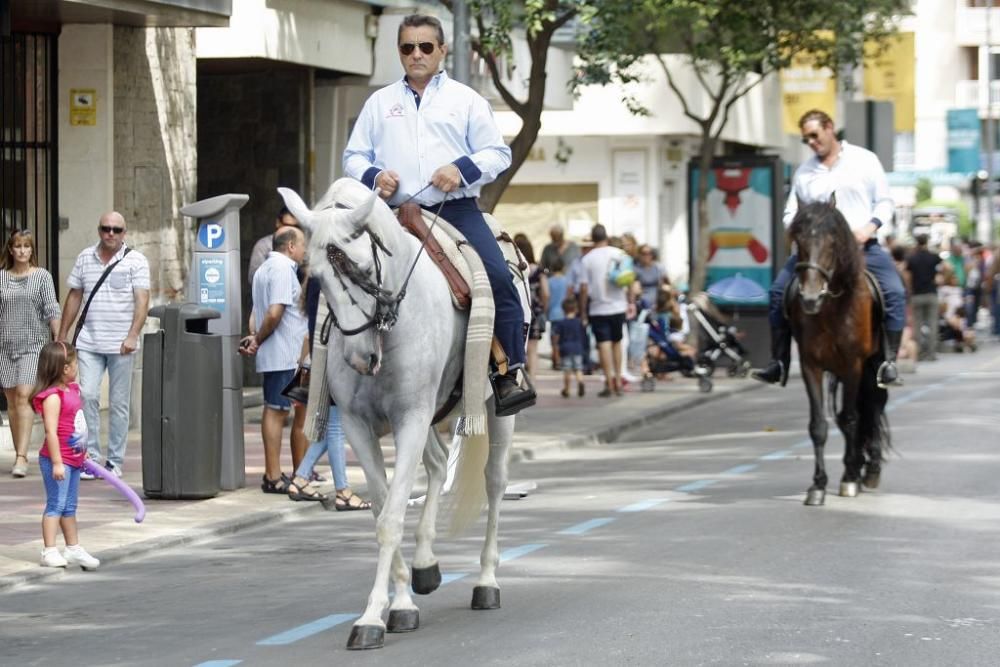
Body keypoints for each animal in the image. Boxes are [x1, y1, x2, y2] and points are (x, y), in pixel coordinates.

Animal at [280, 179, 516, 652]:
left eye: (363, 271)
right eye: (316, 278)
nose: (359, 358)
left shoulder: (410, 416)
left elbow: (390, 518)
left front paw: (374, 616)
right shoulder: (359, 424)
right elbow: (381, 509)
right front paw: (401, 602)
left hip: (492, 412)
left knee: (495, 483)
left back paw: (486, 581)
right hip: (429, 415)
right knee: (439, 464)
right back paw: (427, 565)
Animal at [788, 202, 892, 506]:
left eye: (832, 242)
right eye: (798, 240)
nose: (810, 298)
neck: (831, 310)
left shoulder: (853, 365)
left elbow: (850, 418)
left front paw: (849, 478)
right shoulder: (811, 365)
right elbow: (819, 425)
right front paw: (818, 485)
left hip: (873, 365)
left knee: (874, 405)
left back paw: (869, 469)